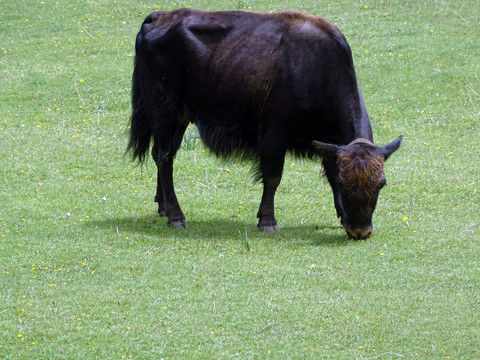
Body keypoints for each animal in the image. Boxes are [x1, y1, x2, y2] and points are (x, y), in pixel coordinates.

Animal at [127, 8, 402, 239]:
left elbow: (329, 173)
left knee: (161, 155)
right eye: (348, 185)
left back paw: (163, 207)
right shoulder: (274, 134)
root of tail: (157, 18)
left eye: (381, 184)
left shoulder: (327, 145)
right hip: (166, 111)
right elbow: (272, 178)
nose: (360, 231)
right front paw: (268, 222)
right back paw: (176, 216)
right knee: (164, 157)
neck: (318, 71)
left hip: (178, 117)